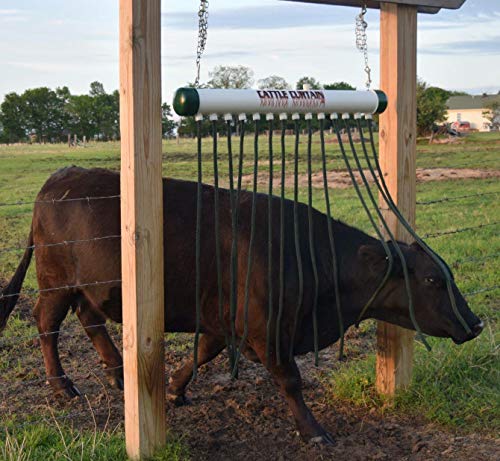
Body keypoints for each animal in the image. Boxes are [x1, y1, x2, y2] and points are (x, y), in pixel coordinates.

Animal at [0, 166, 484, 442]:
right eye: (432, 279)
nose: (476, 324)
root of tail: (61, 177)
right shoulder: (266, 329)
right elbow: (290, 380)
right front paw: (313, 431)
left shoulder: (223, 320)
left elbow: (202, 353)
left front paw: (174, 387)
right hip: (55, 282)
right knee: (47, 325)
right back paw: (62, 386)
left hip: (88, 287)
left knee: (90, 319)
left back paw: (120, 373)